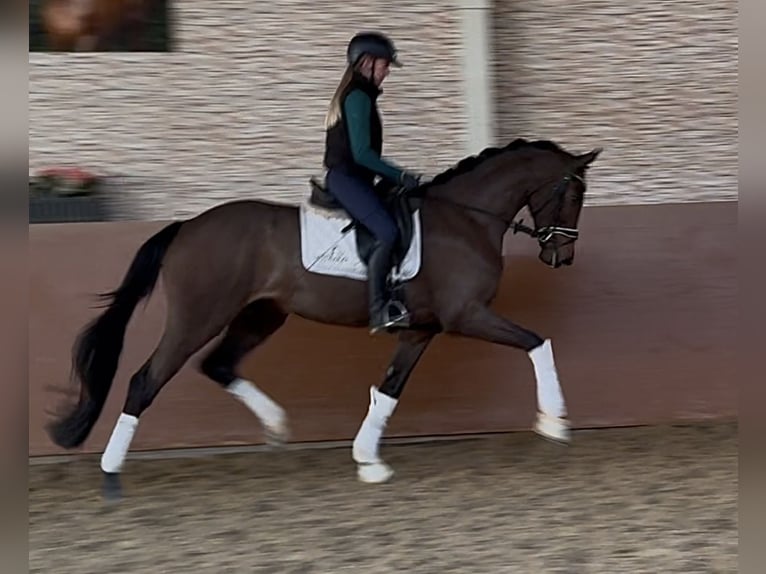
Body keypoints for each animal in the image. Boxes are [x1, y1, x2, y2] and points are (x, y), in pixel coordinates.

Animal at [45, 138, 604, 500]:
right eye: (573, 193)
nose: (562, 256)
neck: (467, 218)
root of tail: (186, 227)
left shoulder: (422, 329)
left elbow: (389, 389)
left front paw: (368, 461)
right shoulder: (468, 315)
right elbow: (538, 342)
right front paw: (554, 423)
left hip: (261, 315)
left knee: (218, 366)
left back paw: (276, 427)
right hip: (198, 317)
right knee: (146, 380)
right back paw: (111, 475)